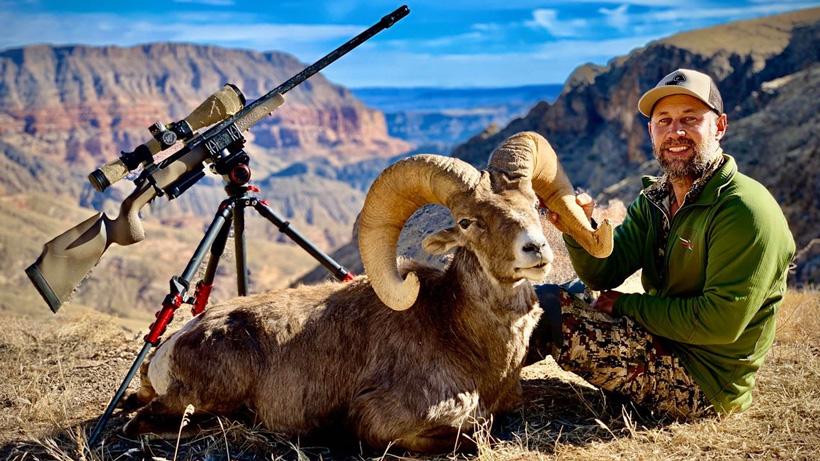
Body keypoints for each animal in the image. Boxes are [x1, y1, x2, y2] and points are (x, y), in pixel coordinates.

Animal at [120, 131, 612, 453]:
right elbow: (474, 434)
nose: (536, 249)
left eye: (534, 206)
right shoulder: (387, 420)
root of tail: (170, 346)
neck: (464, 338)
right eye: (468, 222)